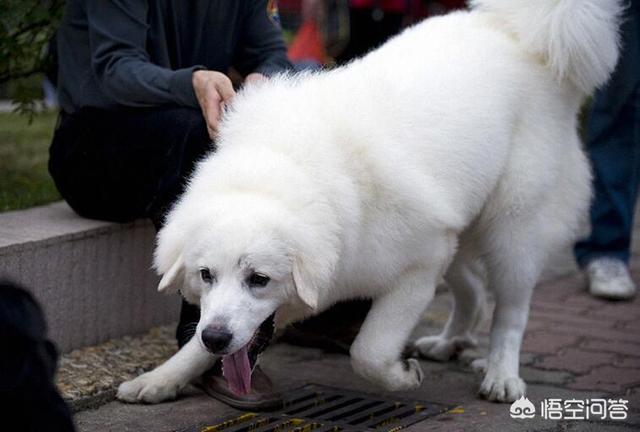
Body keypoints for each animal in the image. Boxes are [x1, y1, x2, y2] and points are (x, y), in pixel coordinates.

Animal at [119, 0, 620, 404]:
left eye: (259, 280)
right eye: (206, 275)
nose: (218, 338)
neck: (291, 168)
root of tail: (519, 34)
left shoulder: (417, 268)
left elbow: (369, 351)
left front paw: (402, 377)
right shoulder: (429, 249)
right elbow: (194, 346)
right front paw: (161, 378)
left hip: (511, 226)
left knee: (511, 311)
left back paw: (500, 375)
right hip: (457, 229)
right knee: (474, 293)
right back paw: (448, 343)